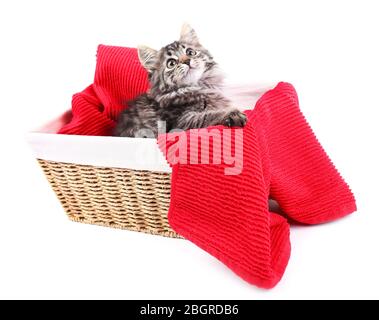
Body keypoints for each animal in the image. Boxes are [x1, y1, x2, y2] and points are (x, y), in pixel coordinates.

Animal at [114, 23, 248, 137]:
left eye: (190, 52)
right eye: (171, 63)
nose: (187, 61)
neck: (199, 87)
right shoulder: (180, 122)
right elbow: (207, 116)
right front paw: (232, 113)